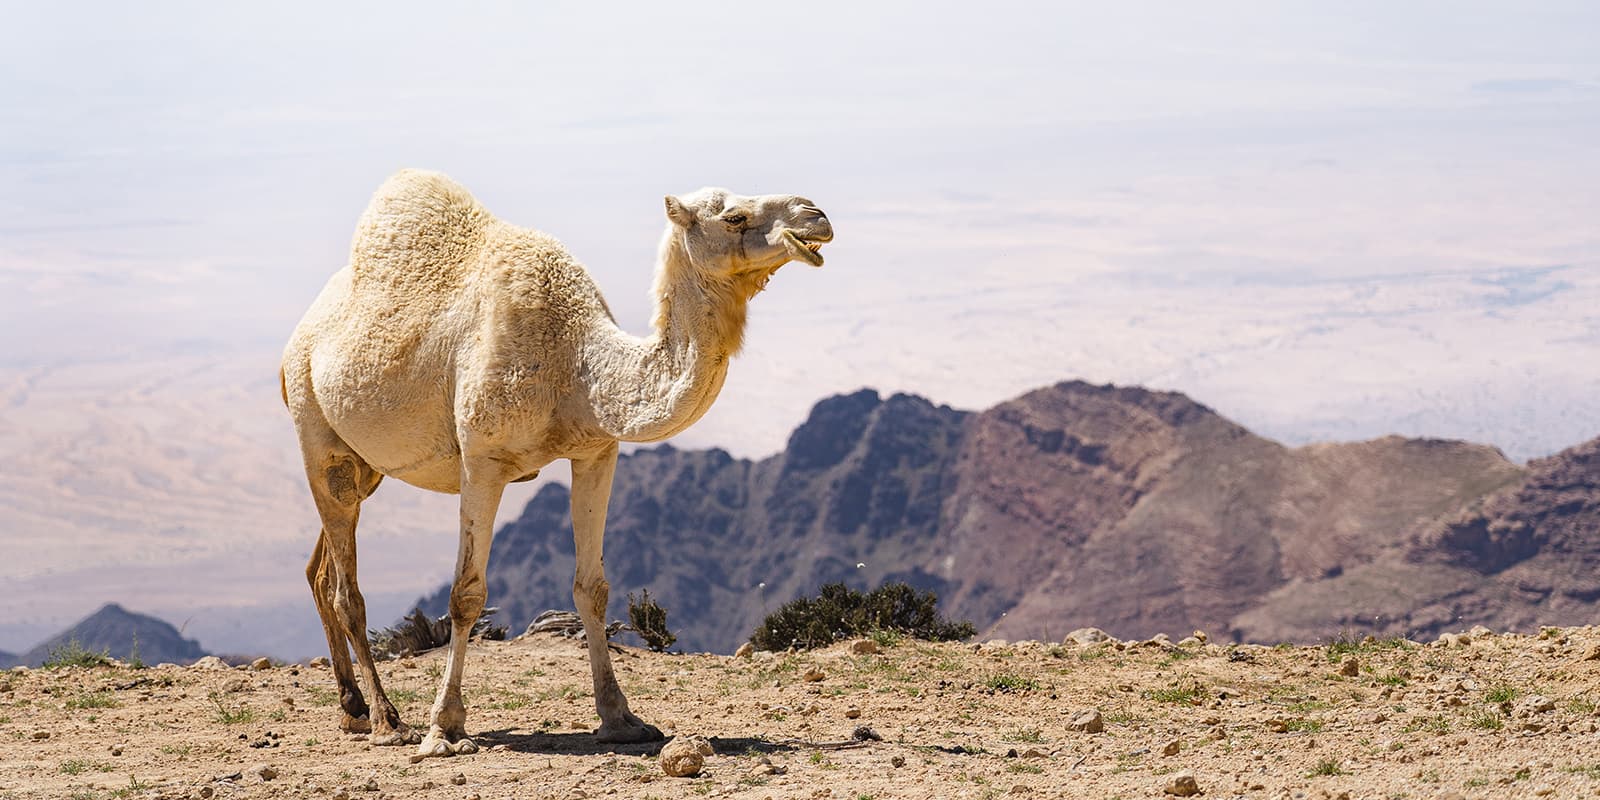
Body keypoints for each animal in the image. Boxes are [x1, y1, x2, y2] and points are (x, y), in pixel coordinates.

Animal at [284, 168, 838, 755]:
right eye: (734, 216)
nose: (815, 216)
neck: (577, 363)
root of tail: (300, 336)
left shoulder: (596, 451)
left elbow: (591, 589)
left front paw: (621, 718)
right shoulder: (482, 459)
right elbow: (466, 593)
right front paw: (444, 727)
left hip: (366, 467)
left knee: (320, 571)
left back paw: (352, 708)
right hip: (316, 431)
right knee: (346, 587)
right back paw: (388, 720)